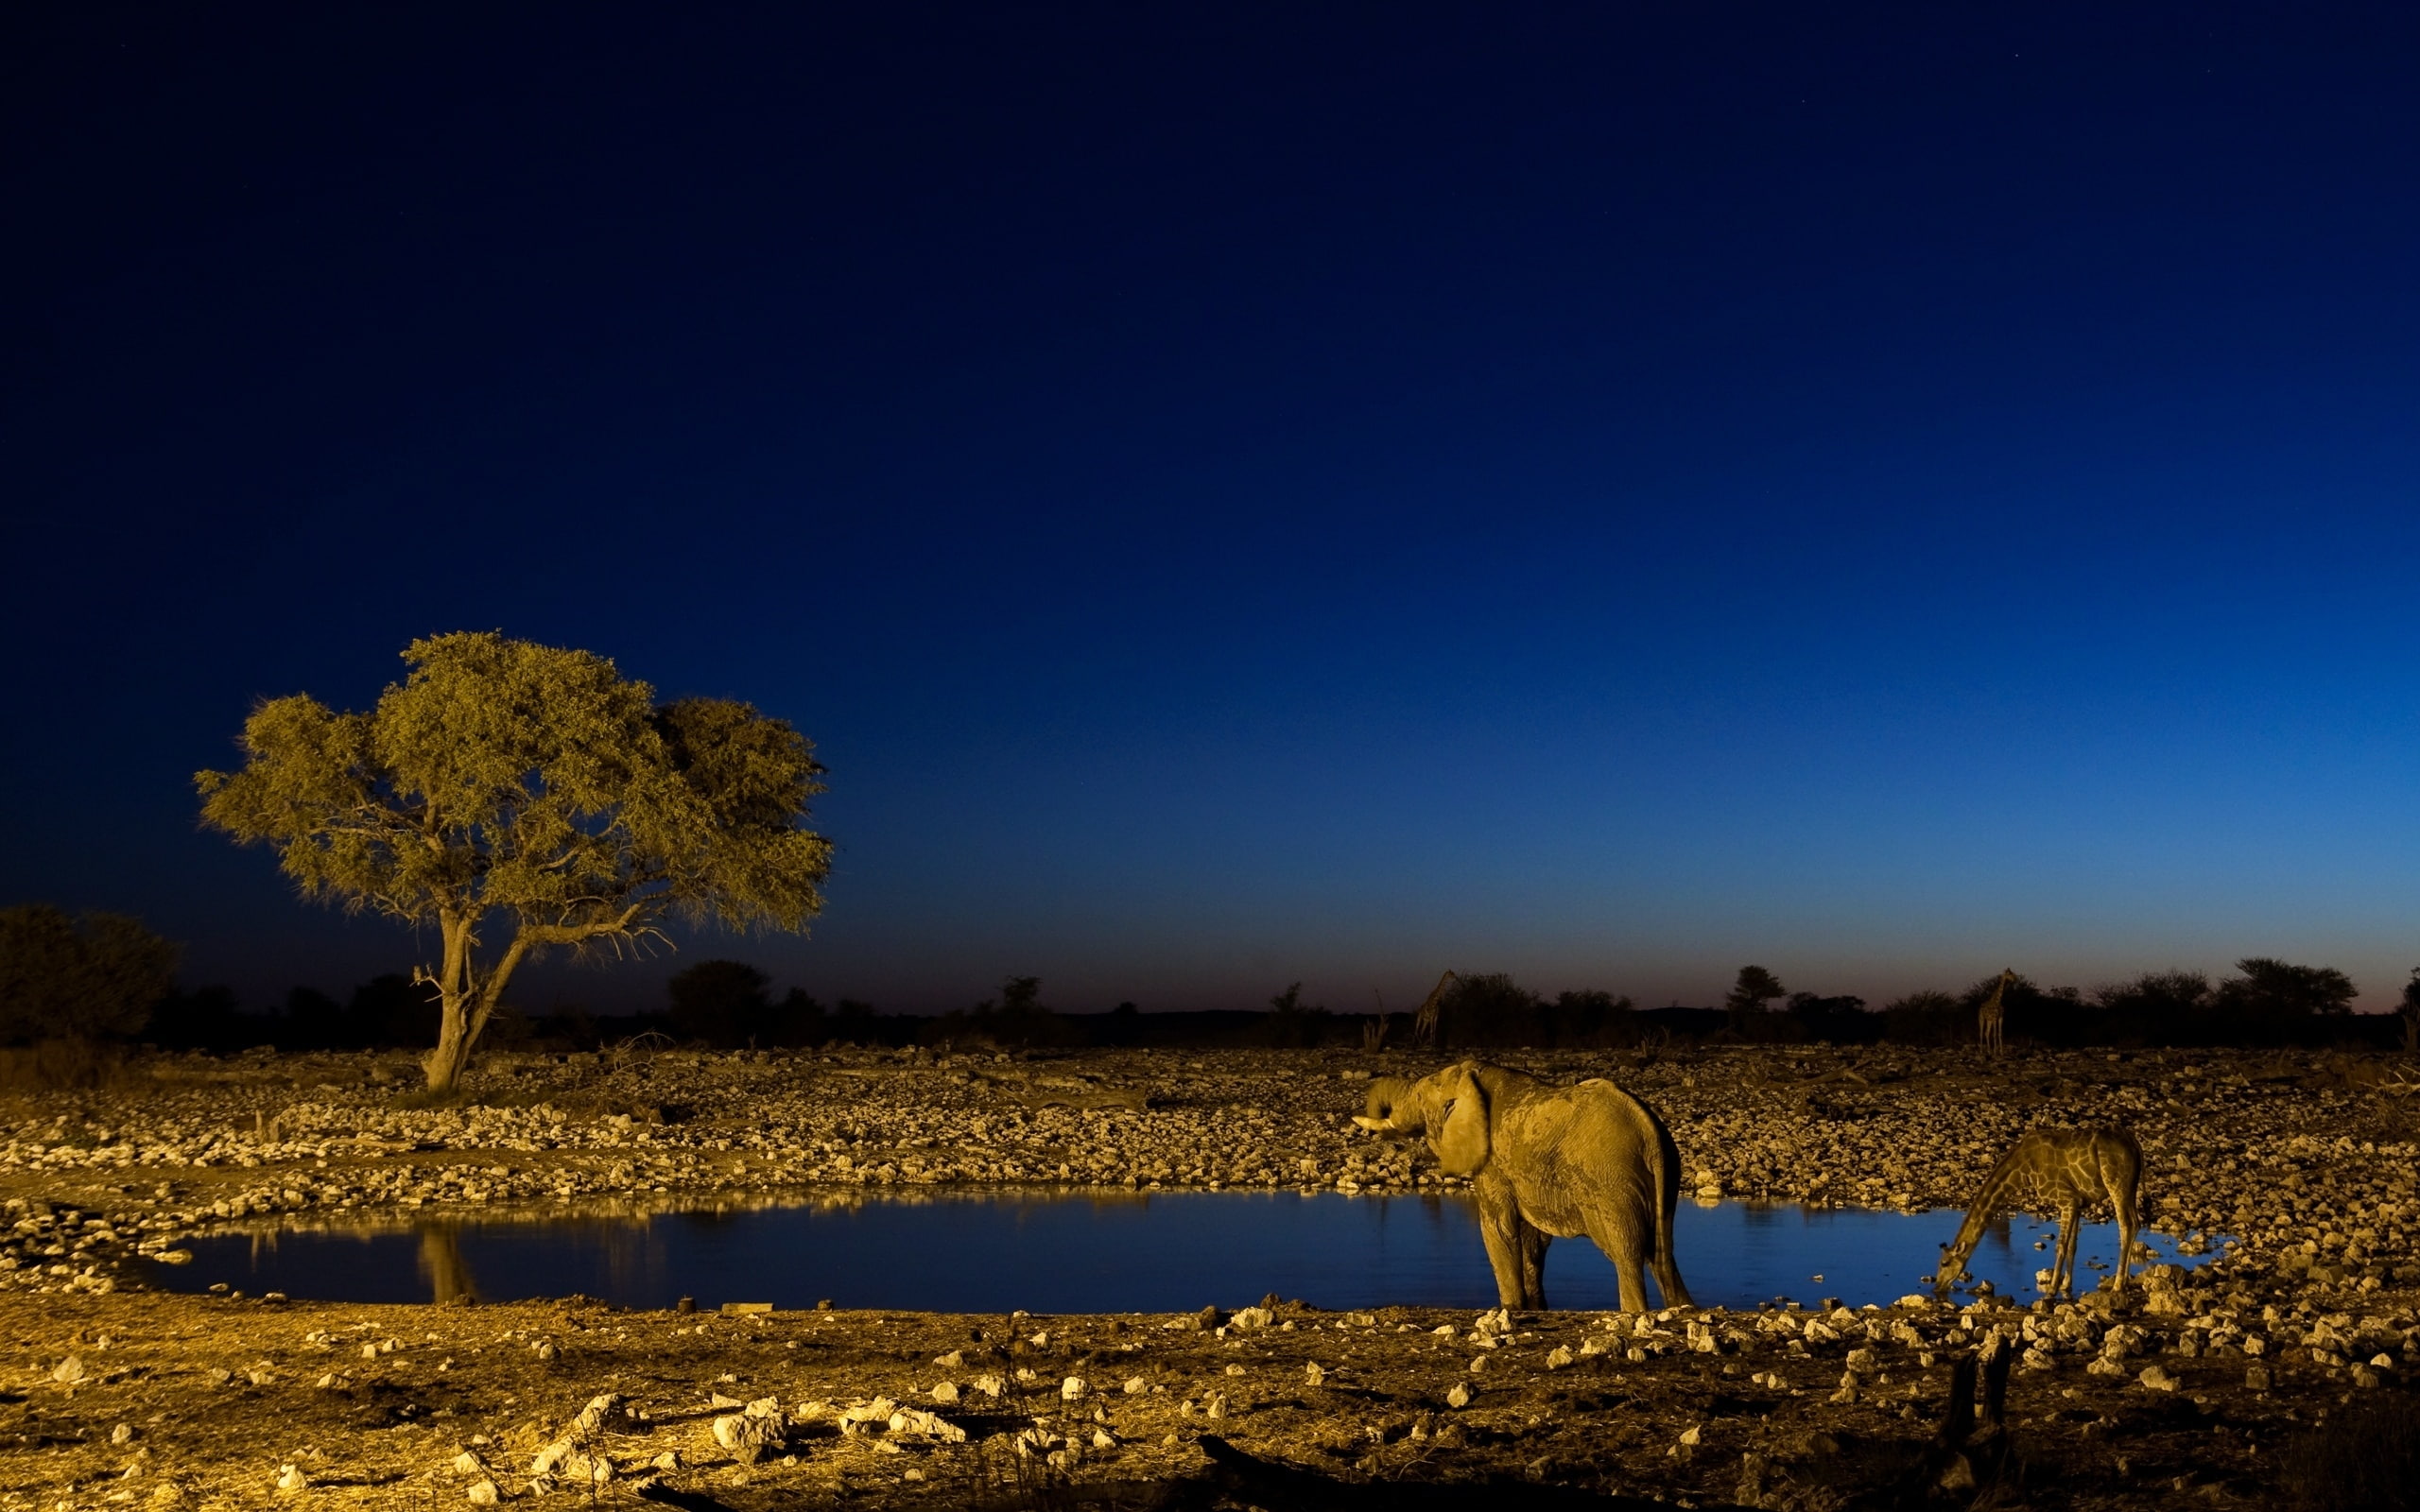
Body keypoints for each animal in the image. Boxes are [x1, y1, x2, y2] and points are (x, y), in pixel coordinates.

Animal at [1355, 1060, 1692, 1313]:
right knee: (1662, 1254)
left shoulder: (1492, 1164)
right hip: (1665, 1177)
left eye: (1420, 1098)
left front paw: (1511, 1308)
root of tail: (1649, 1130)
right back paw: (1682, 1308)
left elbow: (1498, 1227)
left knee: (1627, 1252)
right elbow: (1533, 1239)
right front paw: (1535, 1308)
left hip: (1611, 1181)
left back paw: (1634, 1311)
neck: (1471, 1076)